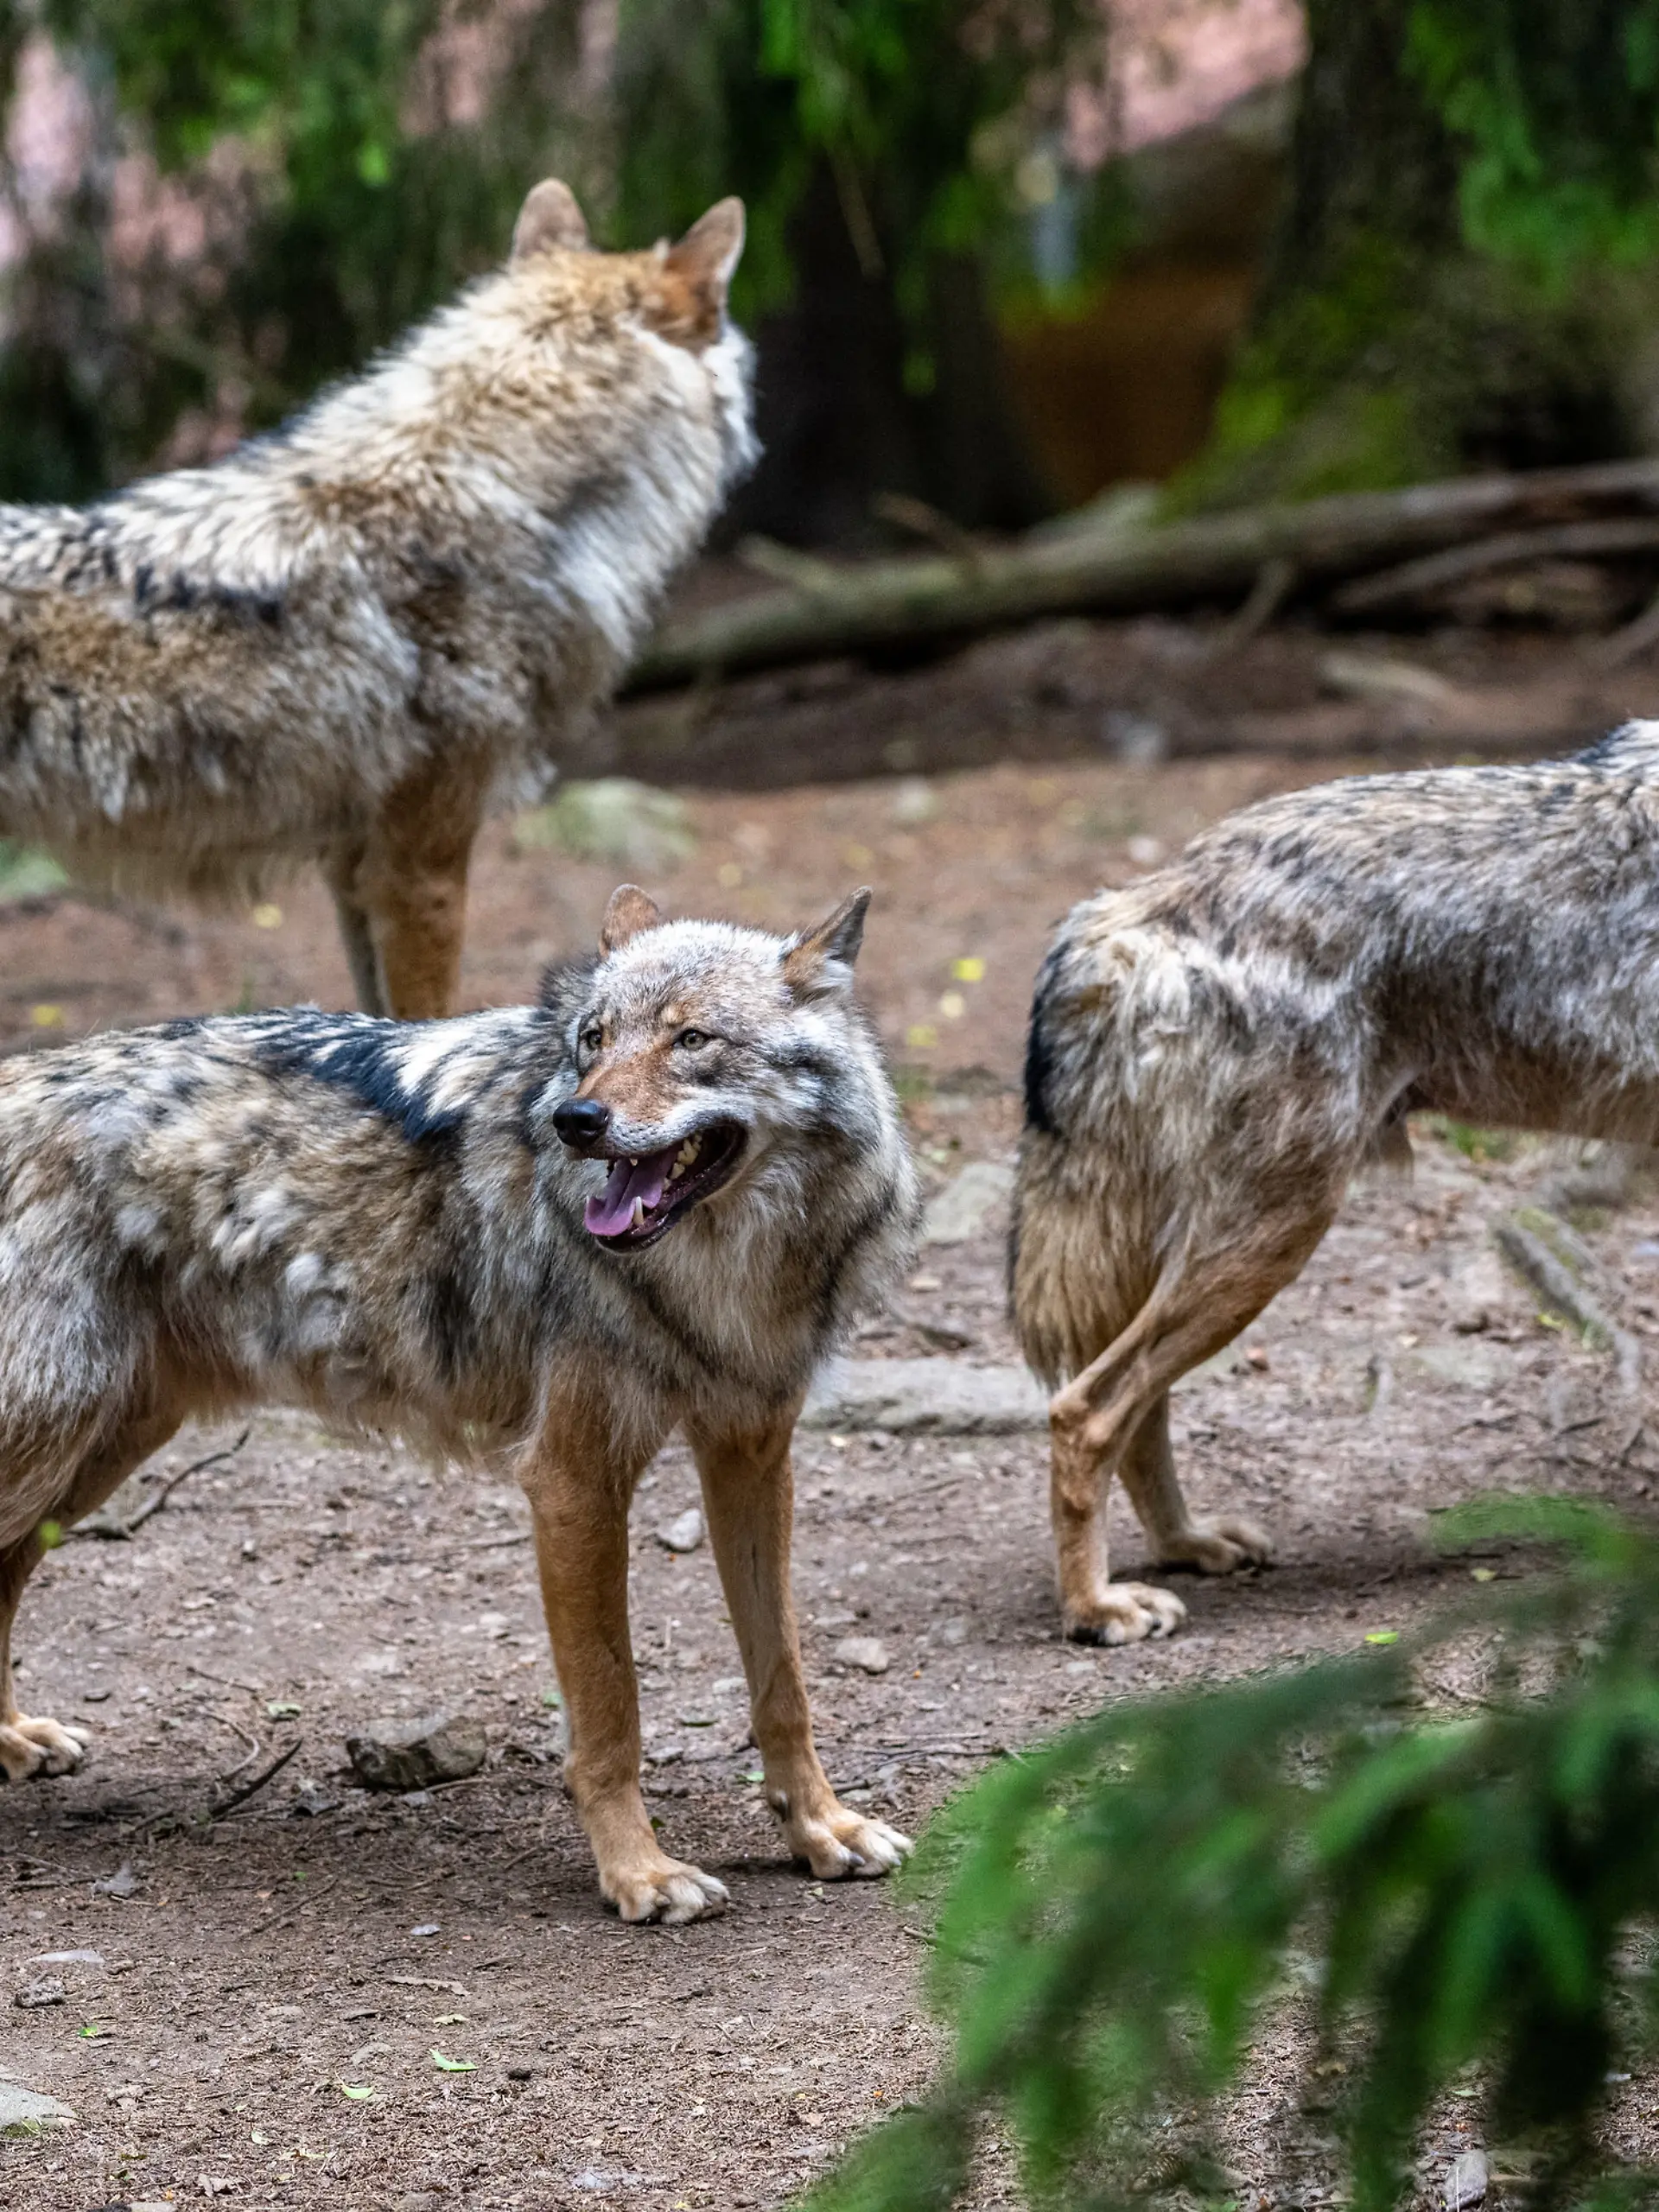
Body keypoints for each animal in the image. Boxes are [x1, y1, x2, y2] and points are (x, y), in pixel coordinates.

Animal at [0, 885, 917, 1924]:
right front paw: (639, 1873)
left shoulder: (752, 1455)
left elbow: (784, 1682)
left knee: (0, 1575)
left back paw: (13, 1741)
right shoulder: (571, 1480)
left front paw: (822, 1829)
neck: (720, 1275)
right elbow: (613, 1708)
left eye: (691, 1039)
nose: (575, 1118)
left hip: (99, 1453)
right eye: (593, 1038)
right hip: (55, 1441)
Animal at [1011, 721, 1659, 1645]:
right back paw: (1097, 1608)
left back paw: (1186, 1545)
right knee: (1086, 1411)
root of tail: (1121, 913)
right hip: (1270, 1236)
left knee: (1138, 1409)